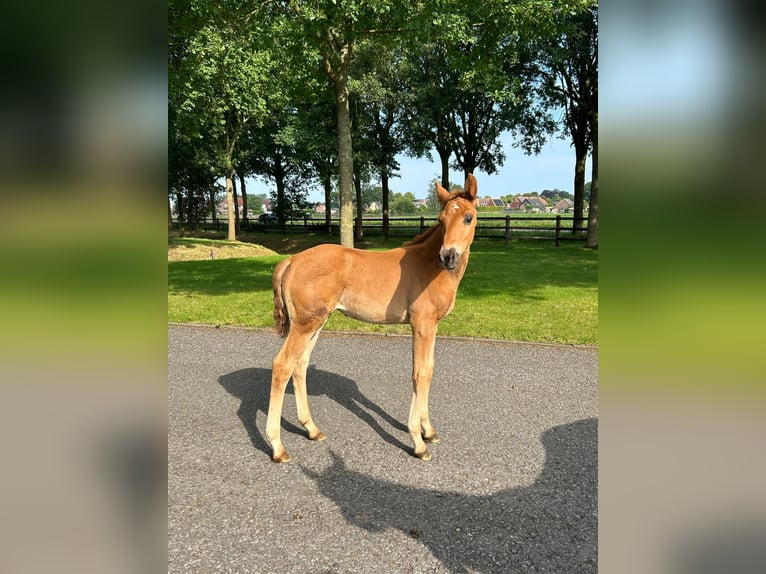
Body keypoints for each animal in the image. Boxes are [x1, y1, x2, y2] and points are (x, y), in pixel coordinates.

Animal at [268, 173, 476, 462]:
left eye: (468, 217)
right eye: (442, 220)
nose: (448, 256)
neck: (430, 265)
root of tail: (292, 260)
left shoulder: (432, 325)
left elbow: (430, 370)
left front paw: (429, 431)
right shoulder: (422, 324)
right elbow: (420, 373)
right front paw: (418, 441)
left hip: (315, 322)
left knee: (300, 365)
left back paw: (312, 429)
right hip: (305, 325)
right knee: (282, 366)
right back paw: (277, 447)